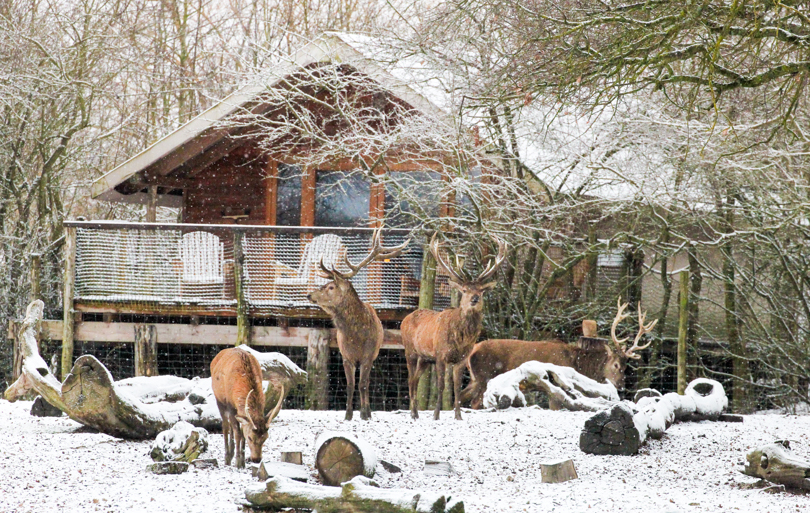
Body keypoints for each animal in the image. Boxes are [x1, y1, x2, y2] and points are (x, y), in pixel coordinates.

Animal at [306, 228, 408, 420]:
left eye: (331, 287)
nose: (309, 295)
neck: (356, 336)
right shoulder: (346, 357)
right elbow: (349, 386)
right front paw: (347, 415)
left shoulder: (368, 356)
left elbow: (363, 385)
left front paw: (364, 414)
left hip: (374, 355)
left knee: (366, 382)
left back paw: (367, 411)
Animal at [402, 232, 508, 420]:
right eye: (464, 290)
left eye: (481, 290)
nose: (475, 299)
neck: (460, 338)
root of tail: (405, 318)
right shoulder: (440, 354)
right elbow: (441, 385)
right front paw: (436, 415)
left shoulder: (462, 358)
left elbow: (457, 387)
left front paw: (458, 415)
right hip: (410, 351)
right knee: (410, 379)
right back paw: (413, 414)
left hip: (425, 358)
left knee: (415, 379)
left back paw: (416, 413)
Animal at [460, 300, 656, 408]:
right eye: (615, 364)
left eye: (626, 366)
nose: (621, 386)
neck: (578, 363)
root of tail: (471, 352)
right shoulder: (556, 384)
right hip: (485, 376)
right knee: (475, 402)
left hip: (474, 378)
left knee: (461, 396)